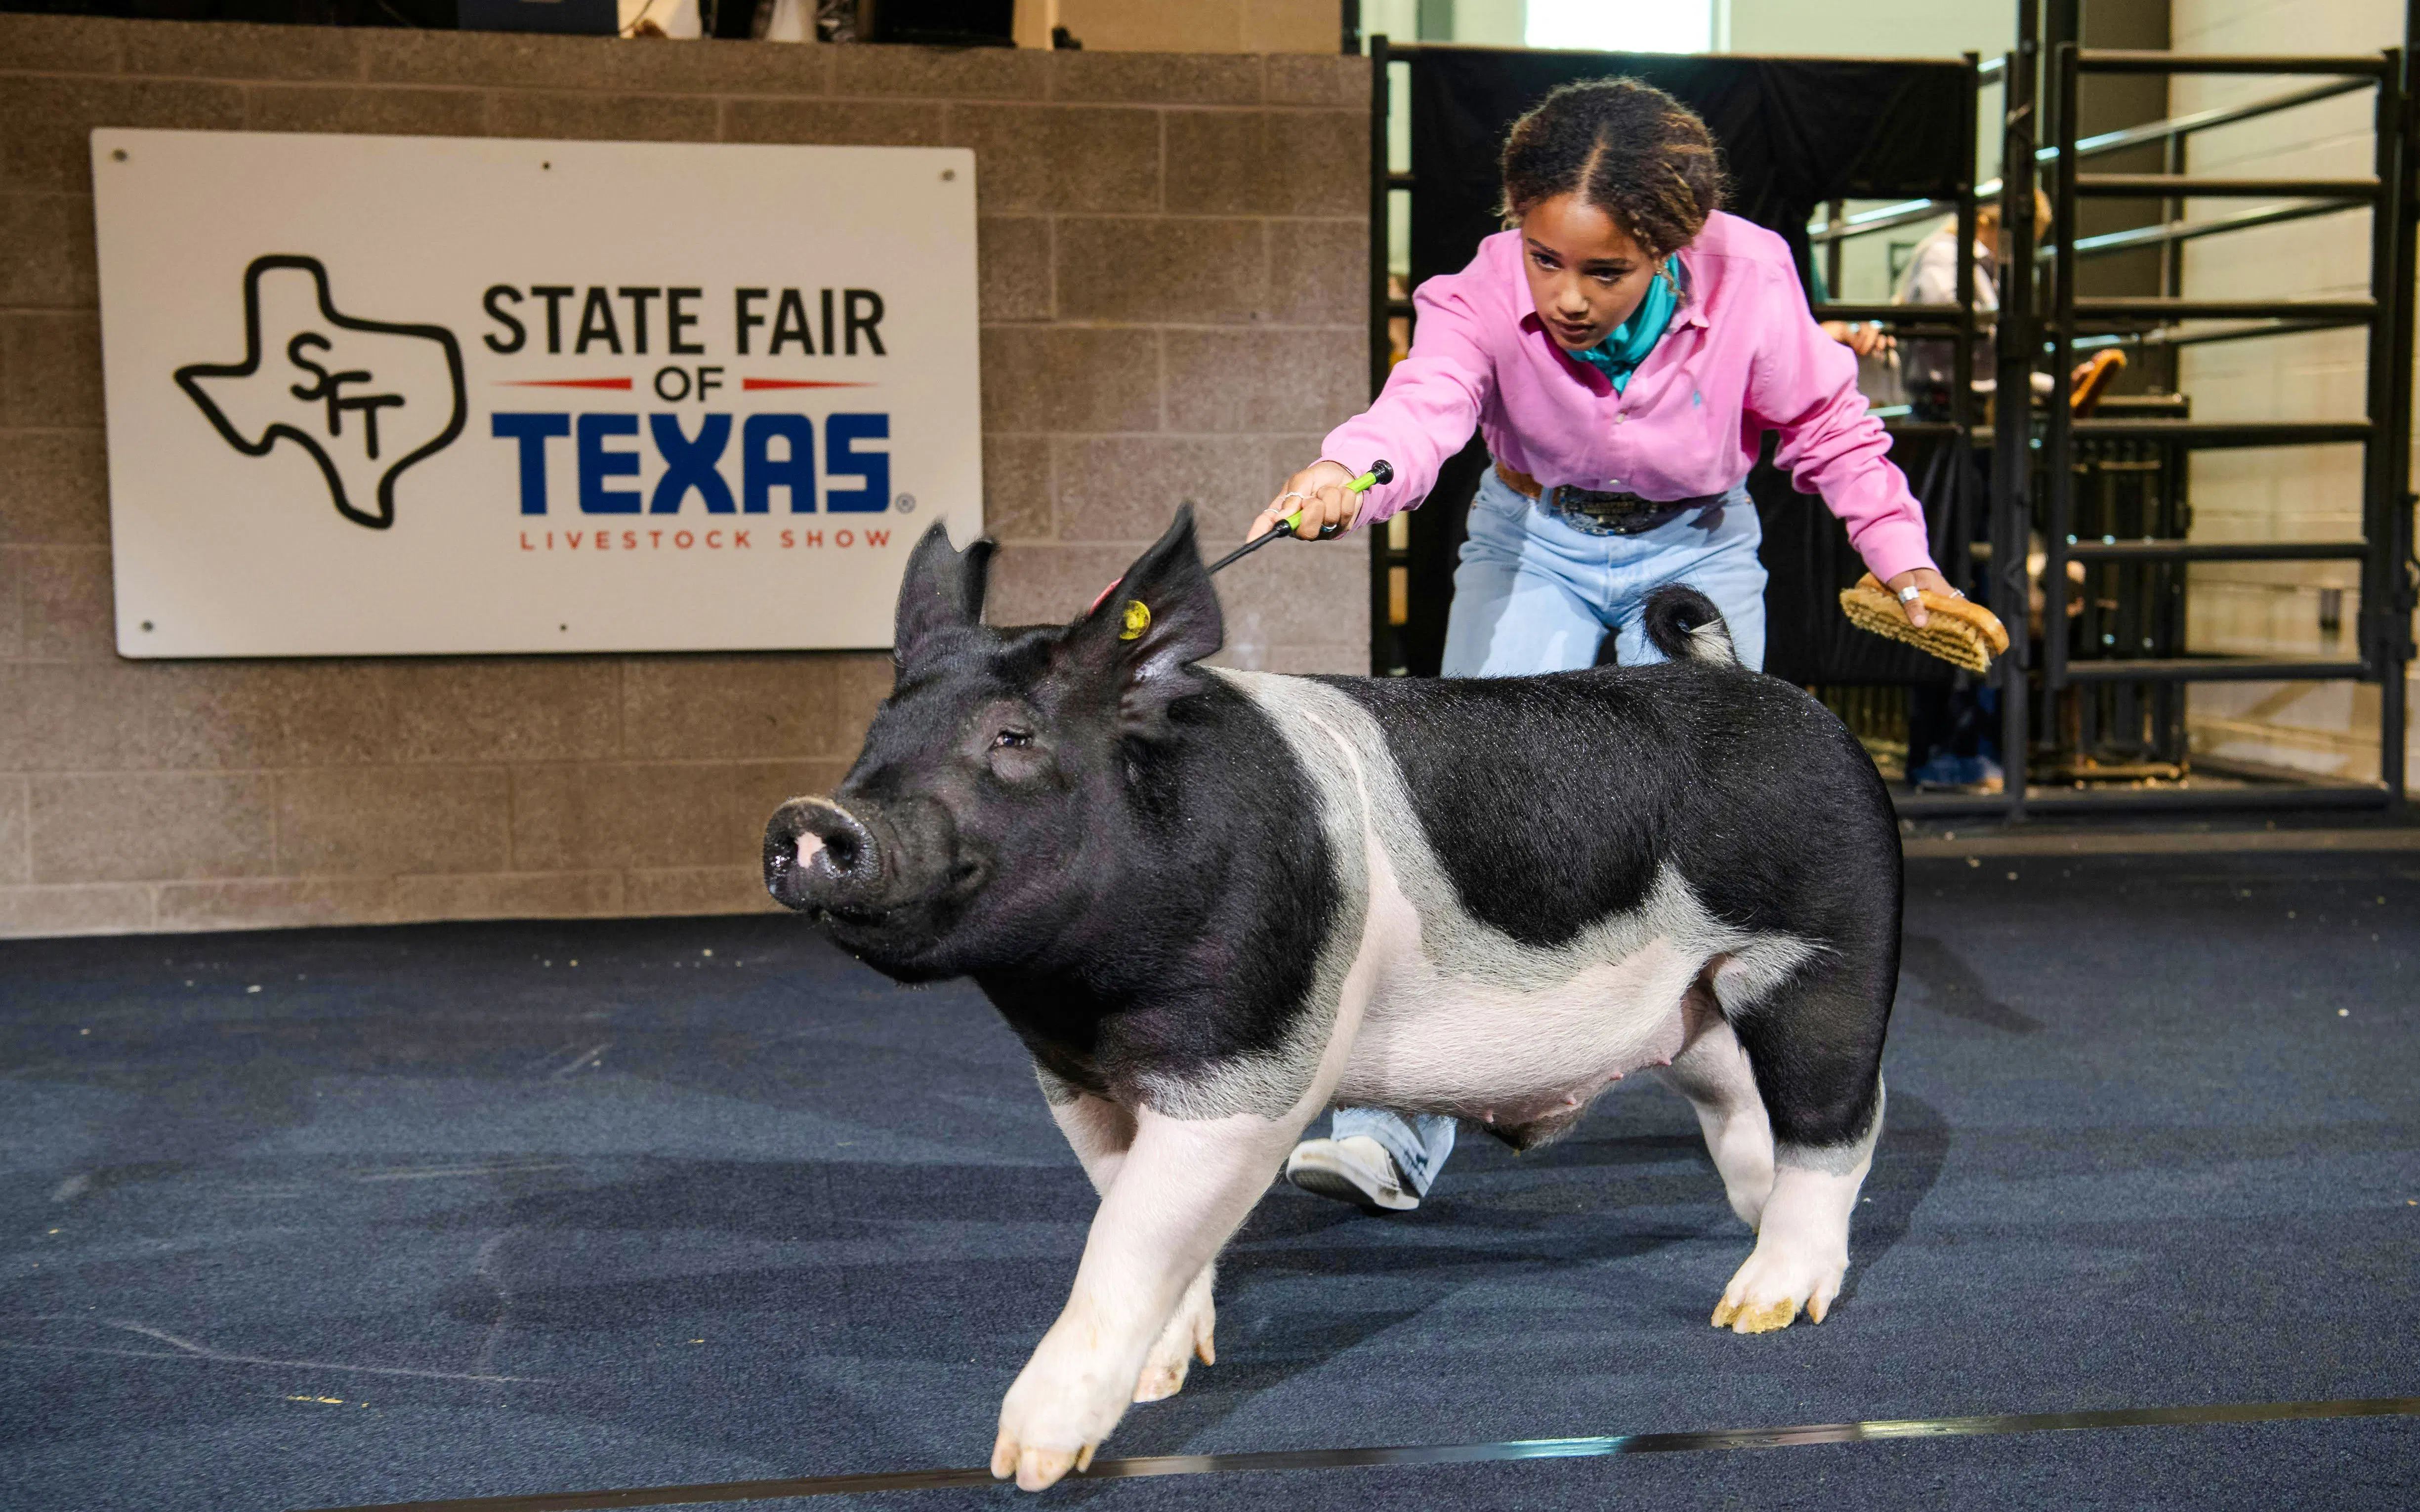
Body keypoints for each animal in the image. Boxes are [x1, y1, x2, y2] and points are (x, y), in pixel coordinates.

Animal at [764, 508, 1899, 1490]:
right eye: (878, 728)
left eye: (1011, 738)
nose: (812, 815)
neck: (1088, 1002)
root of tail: (1748, 677)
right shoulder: (1076, 1082)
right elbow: (1139, 1217)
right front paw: (1168, 1373)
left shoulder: (1248, 1064)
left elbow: (1124, 1239)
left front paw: (1026, 1462)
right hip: (1699, 1002)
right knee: (1741, 1101)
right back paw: (1752, 1226)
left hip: (1821, 956)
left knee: (1841, 1118)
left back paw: (1757, 1309)